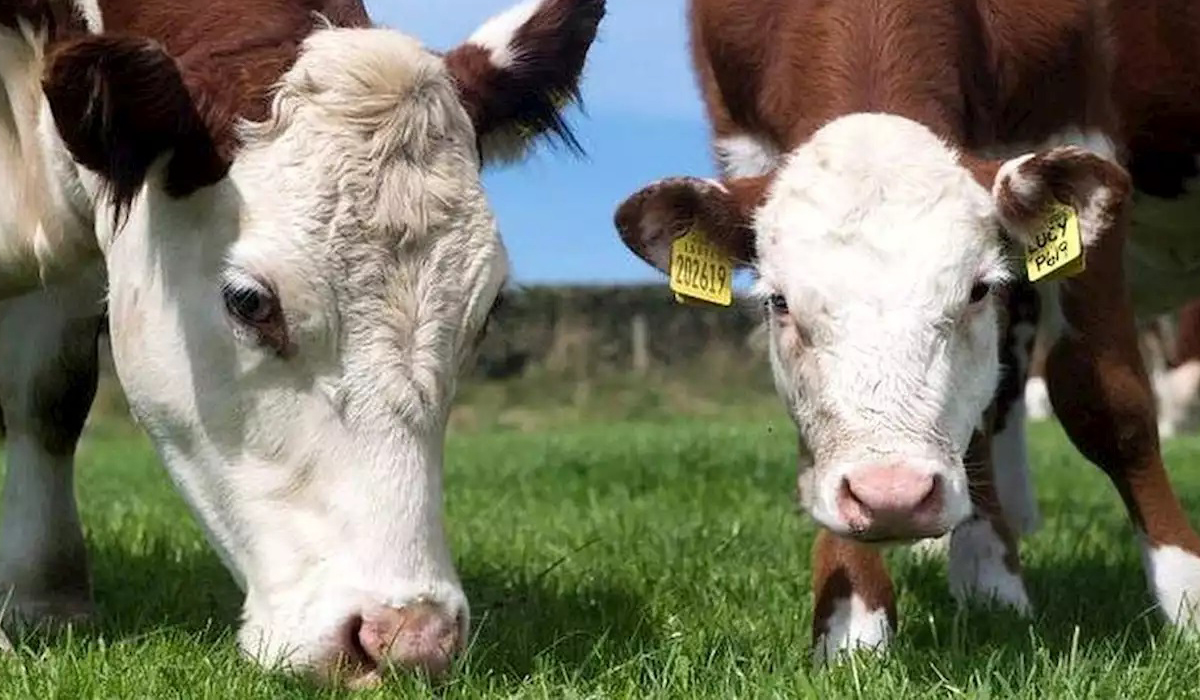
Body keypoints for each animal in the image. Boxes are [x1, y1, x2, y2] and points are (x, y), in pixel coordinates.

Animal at [612, 0, 1200, 661]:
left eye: (976, 290)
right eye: (779, 303)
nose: (891, 494)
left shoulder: (1075, 121)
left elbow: (1106, 402)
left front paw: (1184, 596)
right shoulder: (744, 140)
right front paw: (853, 617)